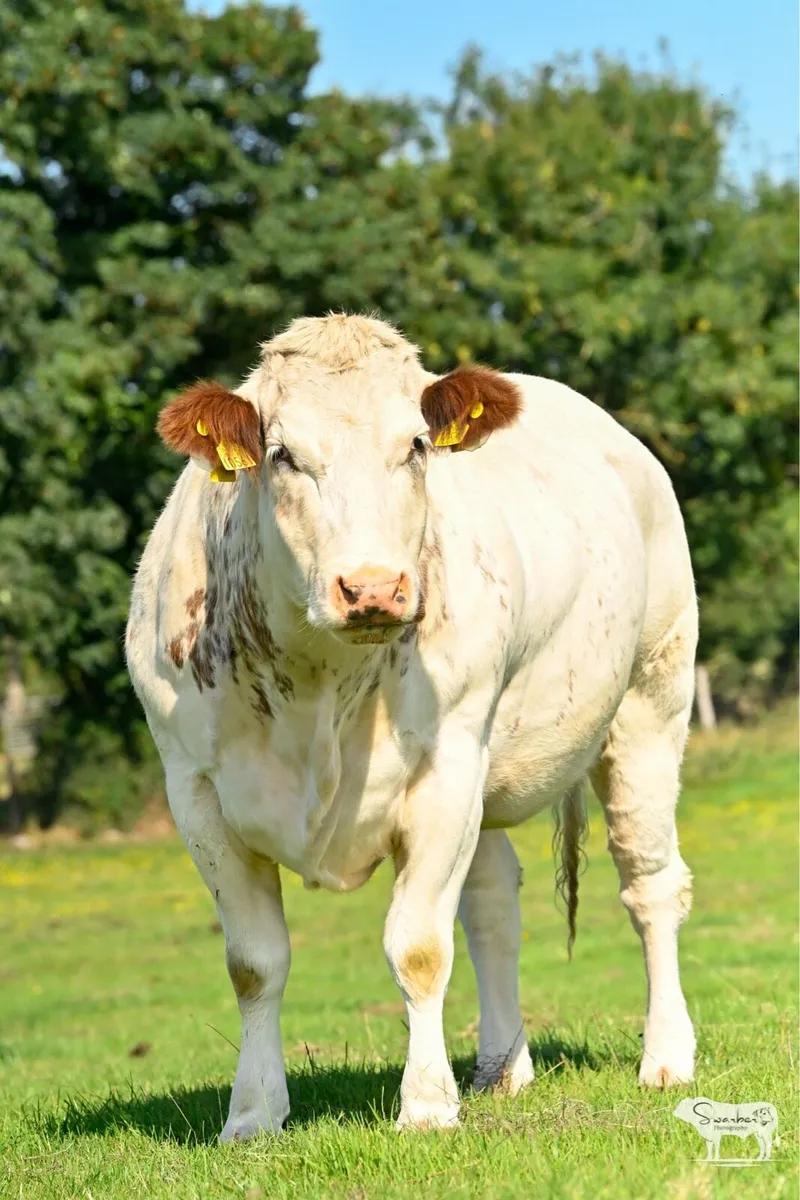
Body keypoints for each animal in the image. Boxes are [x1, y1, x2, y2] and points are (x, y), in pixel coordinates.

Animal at [126, 314, 698, 1140]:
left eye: (417, 446)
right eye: (283, 454)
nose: (372, 587)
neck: (319, 686)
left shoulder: (445, 767)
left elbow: (420, 946)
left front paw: (426, 1104)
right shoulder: (195, 791)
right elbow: (255, 962)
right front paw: (253, 1114)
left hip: (651, 702)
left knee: (649, 883)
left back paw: (666, 1056)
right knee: (493, 901)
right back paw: (502, 1067)